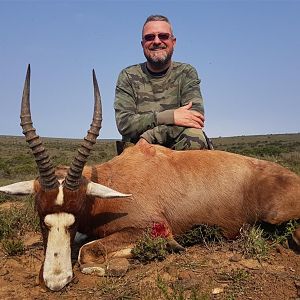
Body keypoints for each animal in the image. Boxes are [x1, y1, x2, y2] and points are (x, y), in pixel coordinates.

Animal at [0, 65, 300, 290]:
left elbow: (87, 251)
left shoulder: (152, 227)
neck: (114, 182)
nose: (56, 280)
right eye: (42, 217)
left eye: (75, 215)